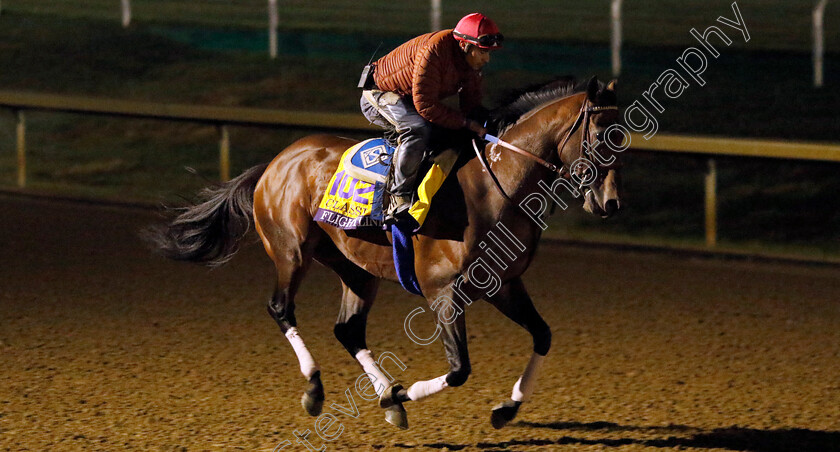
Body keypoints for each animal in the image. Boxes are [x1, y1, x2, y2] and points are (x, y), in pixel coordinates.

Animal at [148, 77, 624, 430]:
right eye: (602, 135)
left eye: (625, 137)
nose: (611, 204)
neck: (495, 186)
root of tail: (275, 162)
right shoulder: (442, 292)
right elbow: (459, 369)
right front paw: (403, 391)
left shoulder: (504, 283)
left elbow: (542, 334)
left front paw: (506, 409)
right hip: (291, 251)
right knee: (281, 308)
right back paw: (318, 388)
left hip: (355, 268)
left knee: (348, 330)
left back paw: (386, 401)